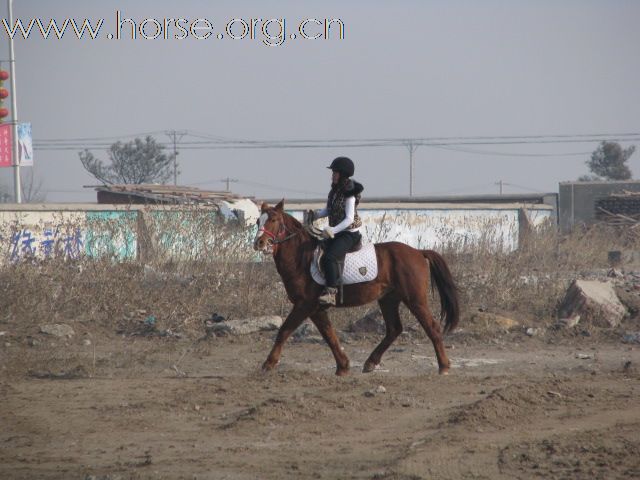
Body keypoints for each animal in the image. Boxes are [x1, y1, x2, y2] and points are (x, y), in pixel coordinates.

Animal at [254, 199, 460, 376]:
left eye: (273, 220)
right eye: (258, 221)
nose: (259, 243)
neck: (301, 259)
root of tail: (418, 252)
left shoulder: (305, 305)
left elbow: (284, 331)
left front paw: (268, 364)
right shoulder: (316, 308)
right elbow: (330, 336)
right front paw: (343, 366)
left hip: (415, 299)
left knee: (432, 327)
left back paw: (443, 366)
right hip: (388, 299)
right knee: (394, 329)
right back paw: (370, 362)